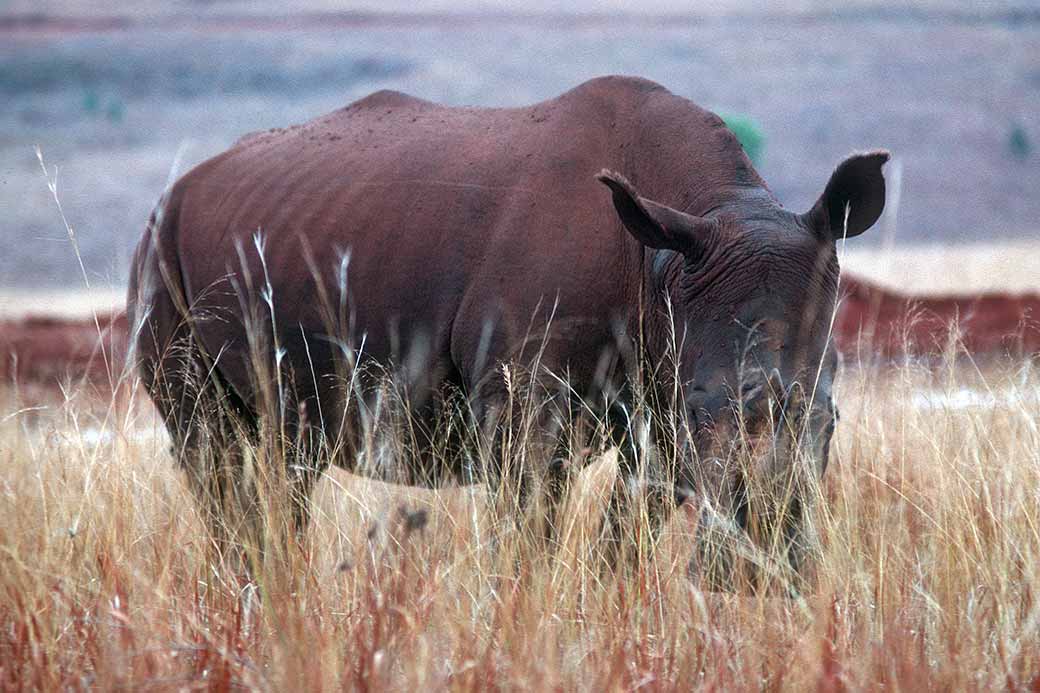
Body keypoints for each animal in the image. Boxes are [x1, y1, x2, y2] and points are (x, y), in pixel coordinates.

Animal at [127, 75, 886, 583]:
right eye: (704, 410)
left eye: (833, 421)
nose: (767, 565)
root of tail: (176, 191)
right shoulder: (527, 400)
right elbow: (529, 530)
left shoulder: (661, 393)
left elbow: (629, 529)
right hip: (159, 256)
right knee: (211, 449)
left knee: (292, 452)